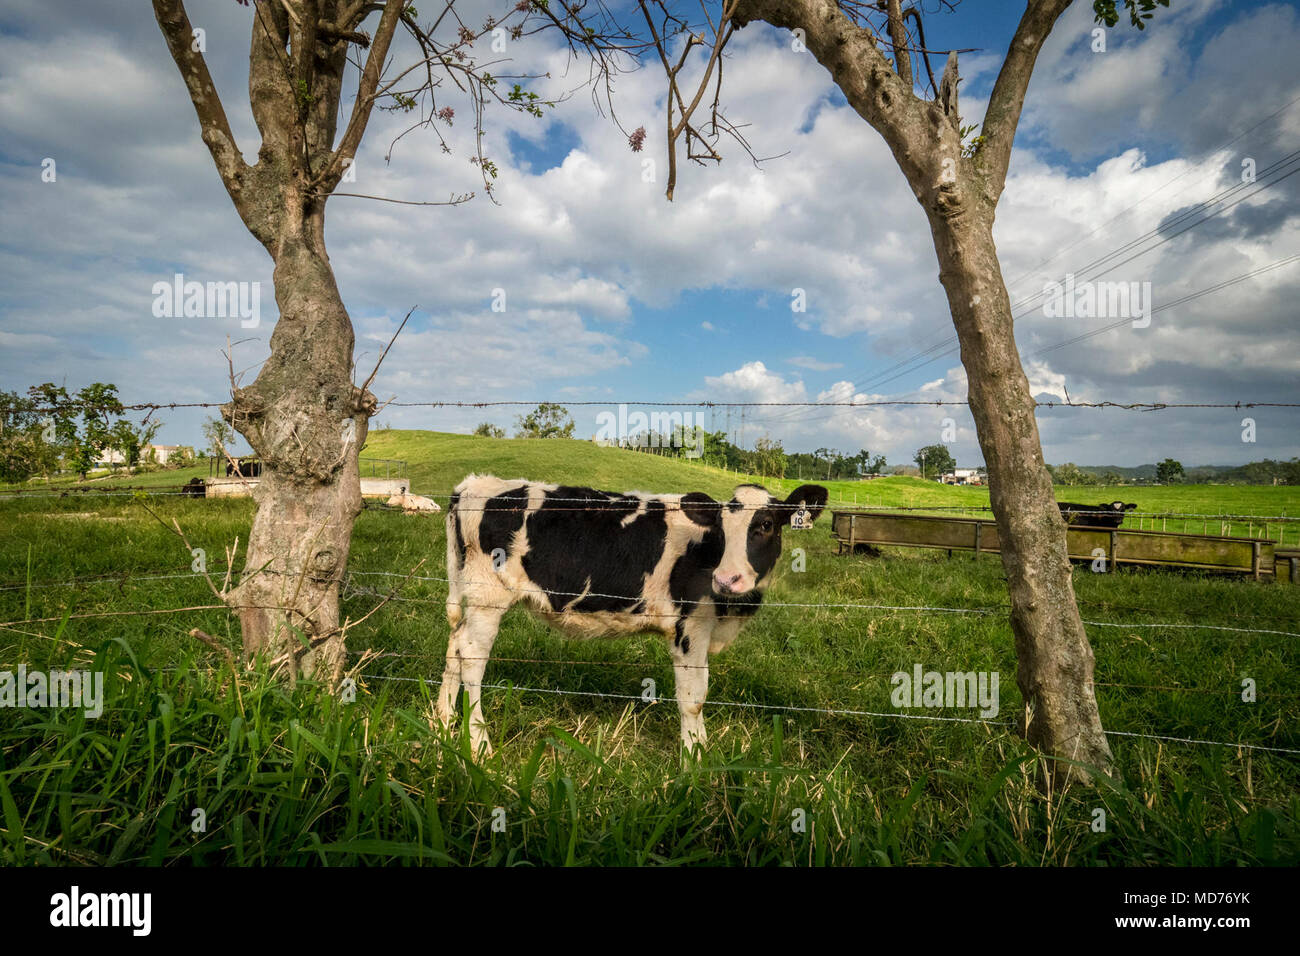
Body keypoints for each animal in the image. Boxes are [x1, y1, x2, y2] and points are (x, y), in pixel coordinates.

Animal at [436, 476, 821, 754]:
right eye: (721, 529)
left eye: (767, 524)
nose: (728, 579)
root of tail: (473, 485)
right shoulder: (690, 627)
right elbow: (693, 699)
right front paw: (695, 762)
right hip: (488, 596)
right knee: (471, 656)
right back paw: (478, 744)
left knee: (454, 645)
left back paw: (442, 720)